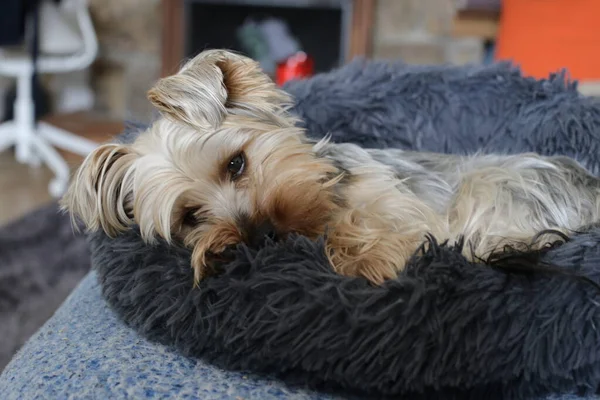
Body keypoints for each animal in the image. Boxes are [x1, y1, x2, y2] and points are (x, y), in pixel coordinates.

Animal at [58, 50, 600, 286]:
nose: (259, 235)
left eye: (236, 163)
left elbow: (388, 230)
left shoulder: (401, 209)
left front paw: (366, 256)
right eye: (189, 217)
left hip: (492, 185)